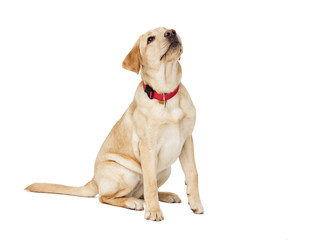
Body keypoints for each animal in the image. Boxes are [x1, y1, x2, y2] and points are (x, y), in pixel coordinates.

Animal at [25, 26, 204, 221]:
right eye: (150, 39)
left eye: (168, 29)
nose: (171, 32)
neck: (165, 94)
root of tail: (94, 180)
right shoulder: (147, 147)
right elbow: (150, 182)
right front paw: (154, 211)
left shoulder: (187, 141)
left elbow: (193, 174)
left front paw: (196, 204)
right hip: (126, 173)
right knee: (106, 197)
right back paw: (133, 203)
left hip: (165, 170)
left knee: (142, 192)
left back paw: (166, 195)